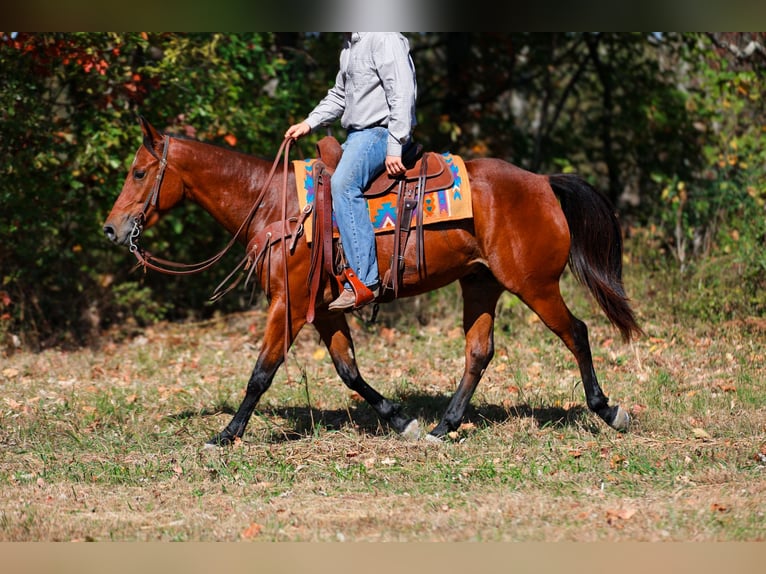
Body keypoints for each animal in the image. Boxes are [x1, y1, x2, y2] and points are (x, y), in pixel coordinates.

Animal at [103, 116, 642, 447]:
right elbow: (349, 372)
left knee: (577, 333)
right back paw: (443, 427)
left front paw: (227, 434)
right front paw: (401, 421)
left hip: (534, 284)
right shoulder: (323, 310)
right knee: (479, 352)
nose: (111, 229)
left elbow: (262, 371)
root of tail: (543, 183)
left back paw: (608, 410)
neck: (275, 204)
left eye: (139, 172)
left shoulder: (289, 304)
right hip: (480, 284)